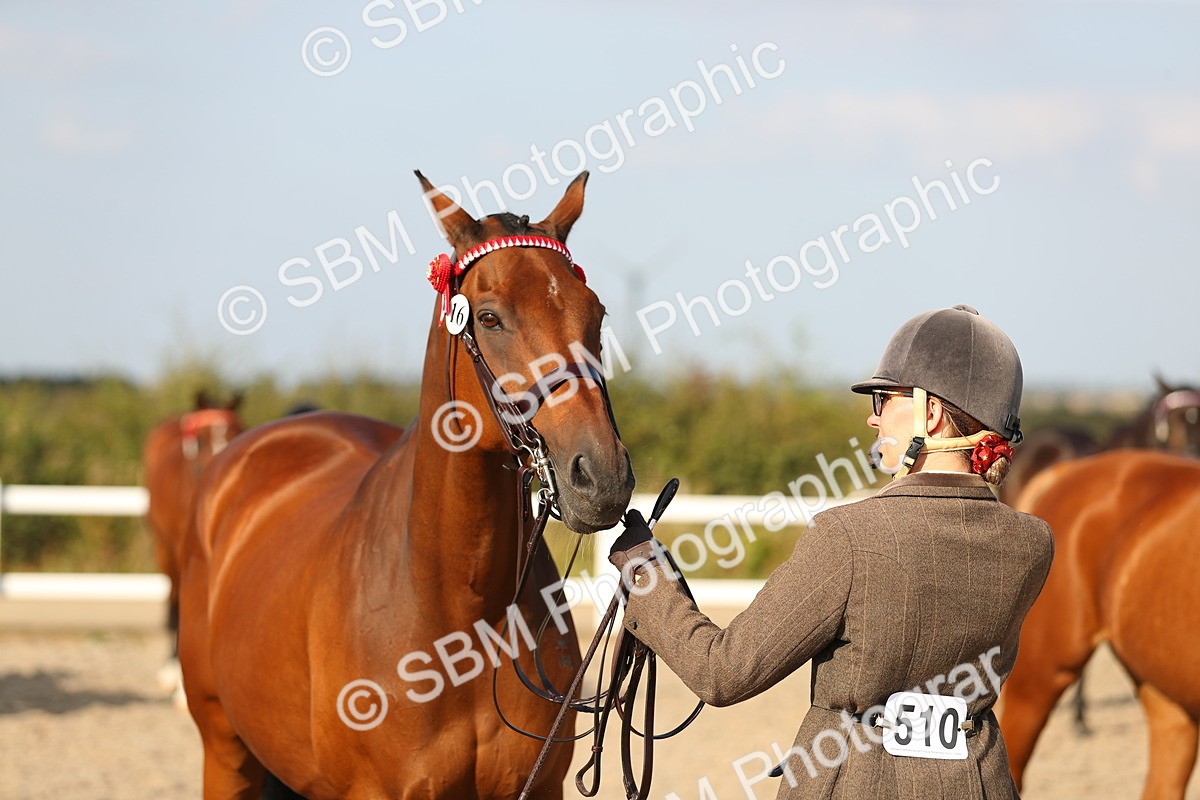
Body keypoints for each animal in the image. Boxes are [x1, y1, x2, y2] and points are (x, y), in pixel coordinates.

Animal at [179, 170, 634, 799]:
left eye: (597, 313)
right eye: (489, 318)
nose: (602, 476)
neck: (461, 614)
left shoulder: (539, 787)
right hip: (224, 753)